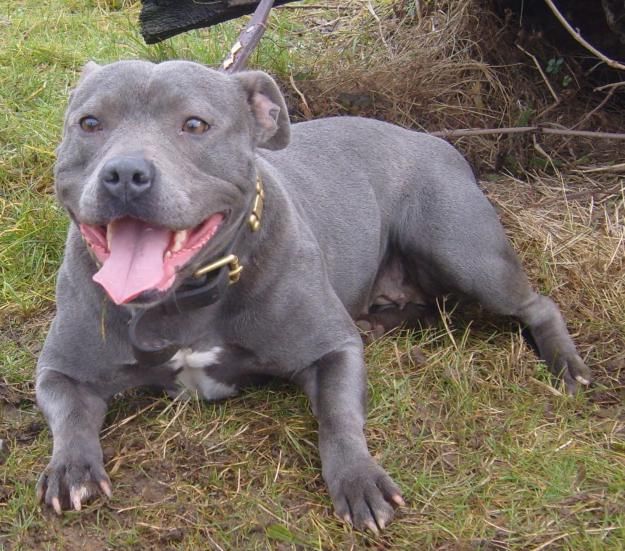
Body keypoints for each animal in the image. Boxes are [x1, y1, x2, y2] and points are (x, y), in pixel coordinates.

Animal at [35, 61, 588, 536]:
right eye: (90, 123)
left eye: (194, 124)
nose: (125, 174)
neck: (186, 299)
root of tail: (434, 140)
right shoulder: (60, 371)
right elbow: (70, 416)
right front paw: (71, 468)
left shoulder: (332, 351)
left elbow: (339, 417)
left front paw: (359, 479)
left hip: (464, 253)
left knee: (537, 304)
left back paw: (568, 366)